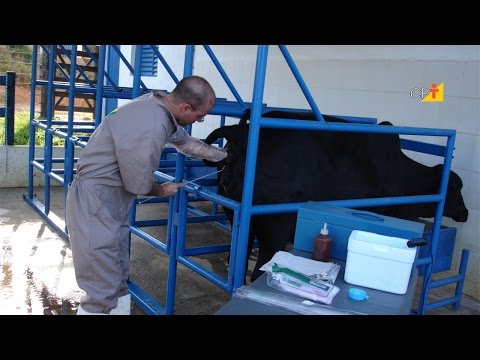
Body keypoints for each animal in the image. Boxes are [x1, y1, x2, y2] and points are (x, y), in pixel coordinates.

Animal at [203, 111, 468, 282]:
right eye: (456, 187)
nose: (465, 213)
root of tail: (241, 131)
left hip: (237, 216)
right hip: (274, 227)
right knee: (260, 269)